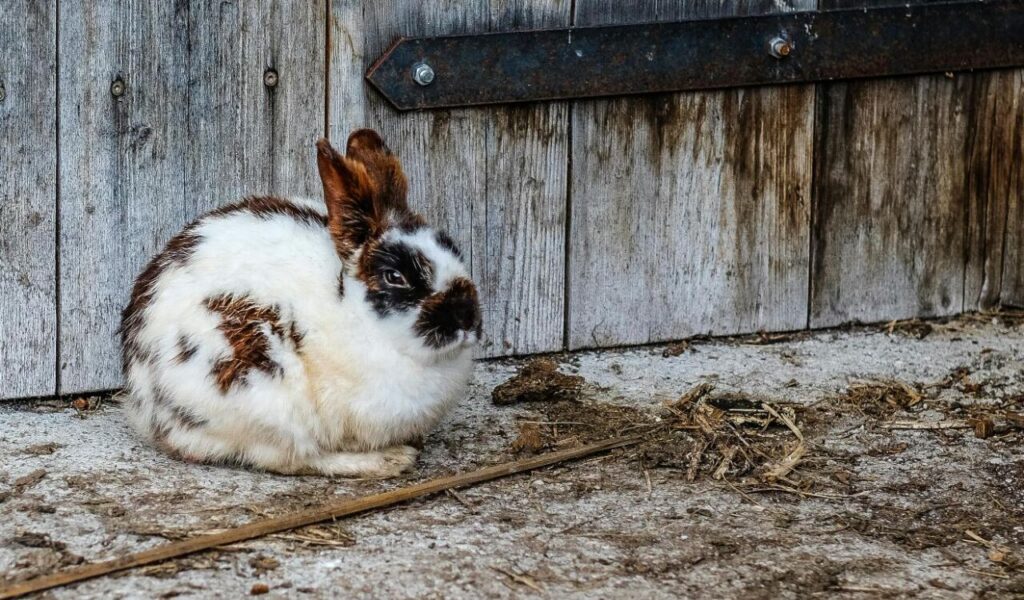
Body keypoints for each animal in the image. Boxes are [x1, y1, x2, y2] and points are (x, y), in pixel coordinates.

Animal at [118, 129, 482, 477]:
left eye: (454, 250)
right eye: (395, 277)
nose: (466, 317)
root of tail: (146, 404)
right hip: (264, 392)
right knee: (293, 458)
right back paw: (388, 460)